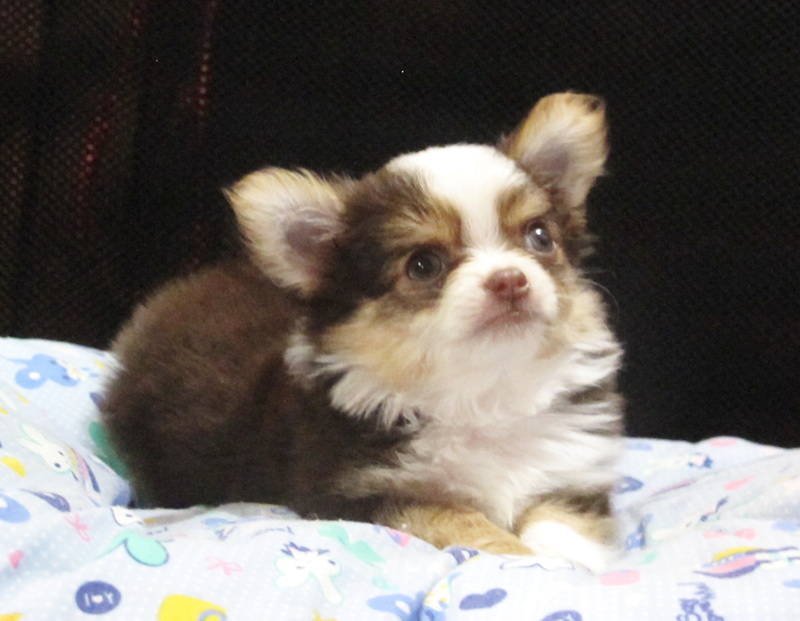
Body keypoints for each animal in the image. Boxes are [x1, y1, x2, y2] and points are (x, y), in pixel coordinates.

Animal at [100, 92, 623, 571]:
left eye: (540, 237)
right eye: (423, 265)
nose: (510, 279)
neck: (483, 395)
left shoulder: (572, 475)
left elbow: (562, 527)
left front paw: (564, 568)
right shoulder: (362, 494)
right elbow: (456, 518)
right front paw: (519, 558)